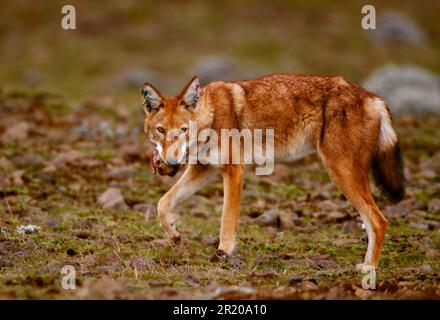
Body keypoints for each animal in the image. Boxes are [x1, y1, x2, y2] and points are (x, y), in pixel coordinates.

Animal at [141, 74, 406, 270]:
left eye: (183, 130)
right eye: (161, 130)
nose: (170, 161)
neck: (211, 117)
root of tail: (375, 98)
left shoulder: (233, 171)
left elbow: (227, 220)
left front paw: (223, 253)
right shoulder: (202, 169)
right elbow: (162, 204)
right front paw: (174, 236)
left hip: (341, 173)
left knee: (379, 221)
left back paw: (369, 269)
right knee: (372, 222)